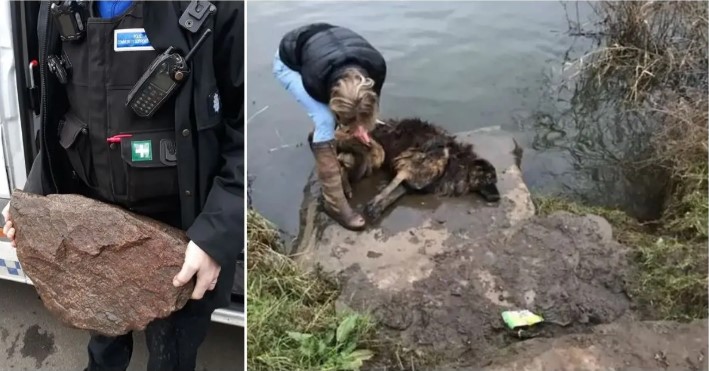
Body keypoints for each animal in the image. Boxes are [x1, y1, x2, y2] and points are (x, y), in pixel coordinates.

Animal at [334, 118, 500, 221]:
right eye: (489, 179)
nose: (498, 197)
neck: (458, 162)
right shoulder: (410, 163)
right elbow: (393, 186)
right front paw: (374, 203)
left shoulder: (411, 180)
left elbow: (396, 193)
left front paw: (378, 207)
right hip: (376, 152)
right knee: (342, 163)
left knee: (342, 163)